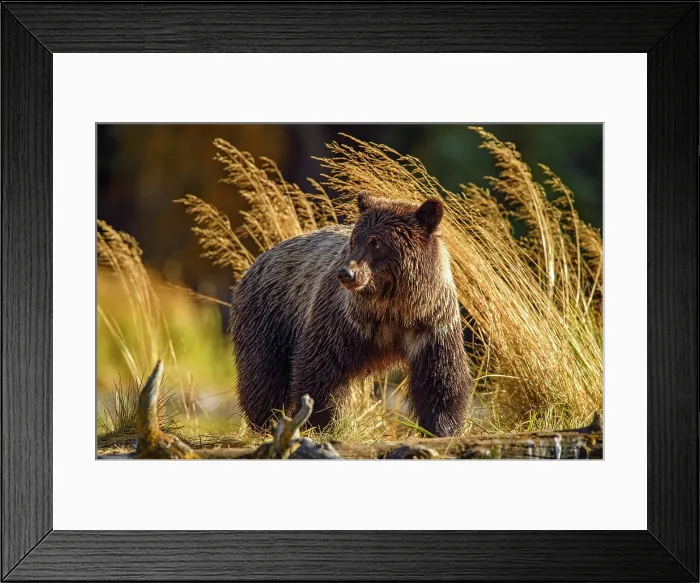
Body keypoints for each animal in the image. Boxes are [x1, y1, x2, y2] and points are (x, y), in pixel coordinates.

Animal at [229, 191, 473, 437]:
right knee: (264, 375)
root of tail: (259, 259)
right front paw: (322, 423)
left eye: (376, 242)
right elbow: (319, 370)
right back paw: (268, 423)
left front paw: (442, 428)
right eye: (355, 240)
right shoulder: (344, 321)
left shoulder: (431, 324)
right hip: (270, 317)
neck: (392, 306)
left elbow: (441, 379)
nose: (347, 273)